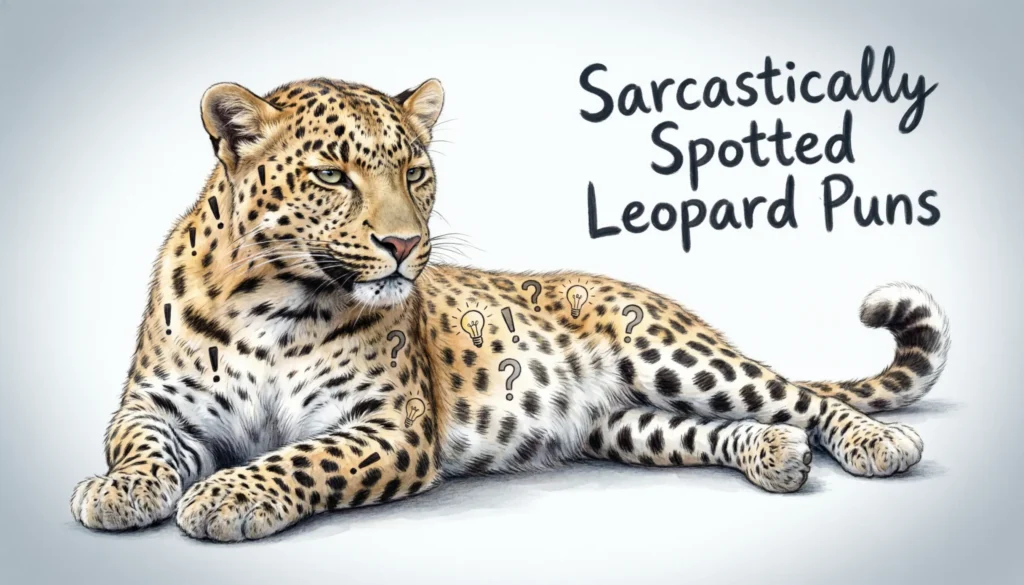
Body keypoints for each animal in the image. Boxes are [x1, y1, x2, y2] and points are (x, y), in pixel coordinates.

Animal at [70, 76, 951, 541]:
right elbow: (139, 446)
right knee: (723, 427)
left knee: (799, 397)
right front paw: (119, 491)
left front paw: (228, 495)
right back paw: (776, 454)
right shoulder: (152, 405)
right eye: (330, 175)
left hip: (678, 358)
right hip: (626, 424)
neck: (275, 301)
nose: (403, 245)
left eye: (416, 170)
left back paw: (880, 444)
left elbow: (298, 457)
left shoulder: (389, 425)